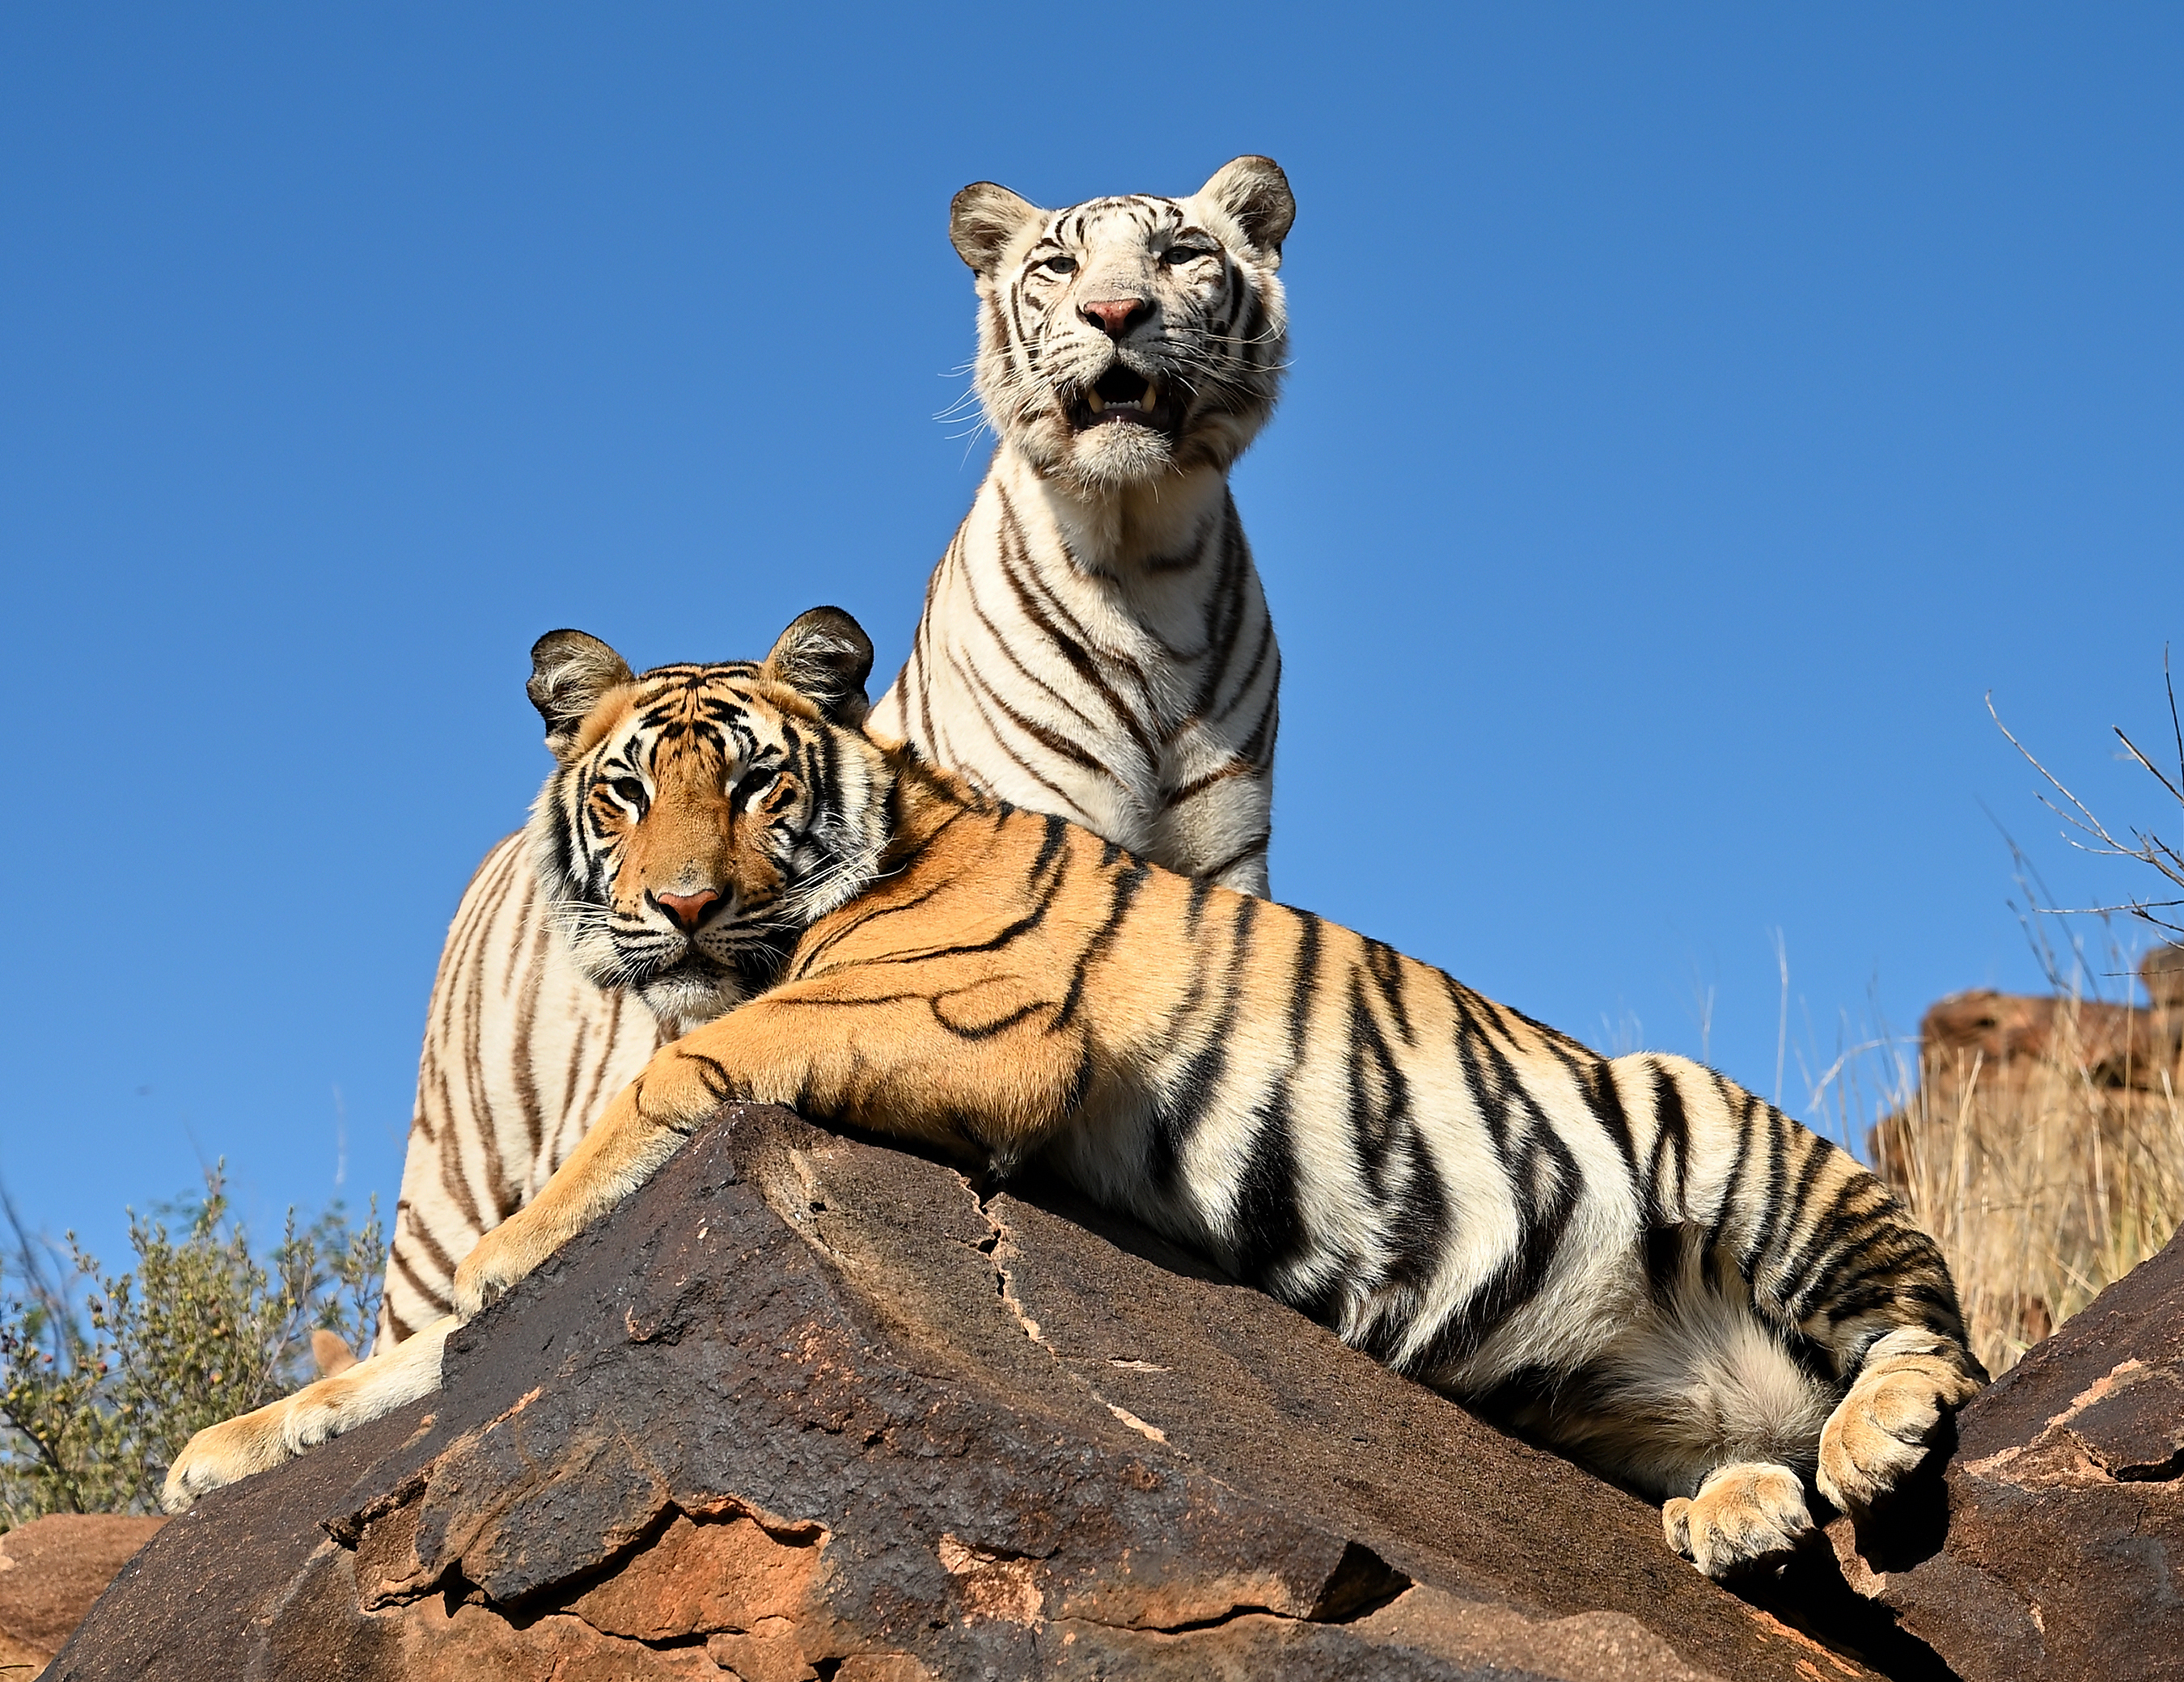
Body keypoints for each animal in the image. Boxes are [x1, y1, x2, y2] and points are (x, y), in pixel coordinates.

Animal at [375, 157, 1293, 1337]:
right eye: (1058, 265)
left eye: (1182, 255)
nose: (1116, 313)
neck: (1149, 559)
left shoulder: (1226, 865)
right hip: (450, 1180)